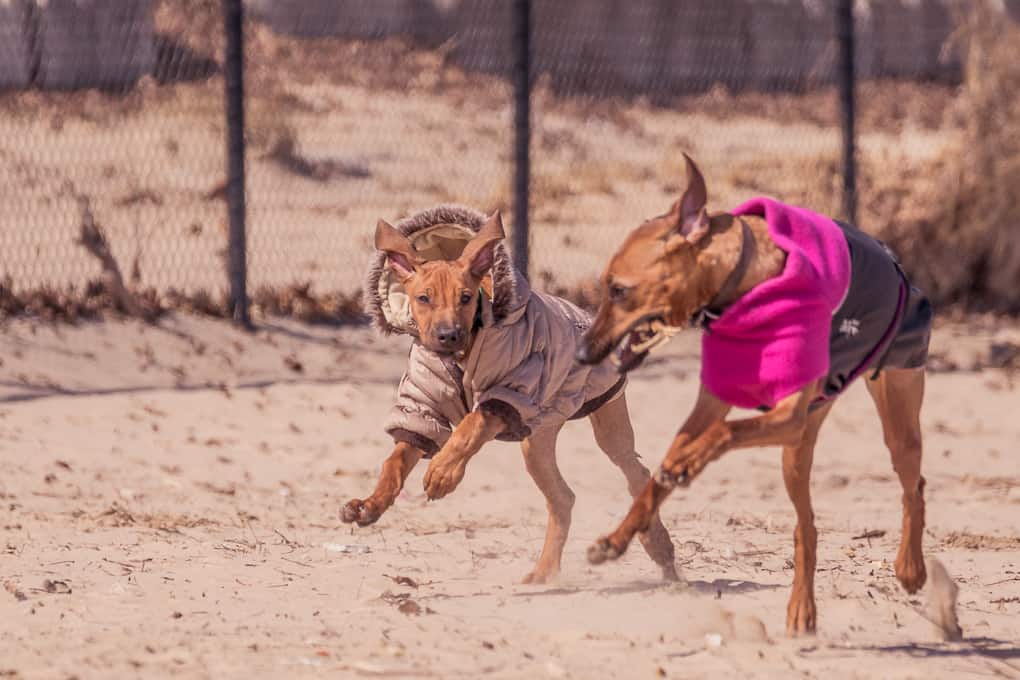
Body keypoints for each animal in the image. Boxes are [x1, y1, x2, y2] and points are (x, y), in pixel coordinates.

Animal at [340, 208, 677, 587]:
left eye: (466, 297)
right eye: (423, 298)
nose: (448, 335)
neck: (461, 354)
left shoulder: (510, 392)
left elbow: (469, 427)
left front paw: (443, 473)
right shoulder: (423, 406)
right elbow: (395, 462)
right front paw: (370, 506)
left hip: (606, 419)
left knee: (636, 473)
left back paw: (659, 546)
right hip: (538, 437)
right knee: (563, 498)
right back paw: (544, 572)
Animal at [579, 153, 930, 632]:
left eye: (619, 290)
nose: (583, 352)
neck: (744, 288)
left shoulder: (783, 413)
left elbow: (724, 433)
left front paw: (686, 465)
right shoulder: (715, 406)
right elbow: (661, 473)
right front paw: (617, 539)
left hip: (895, 413)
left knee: (913, 485)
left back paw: (911, 568)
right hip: (798, 446)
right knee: (807, 527)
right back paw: (802, 607)